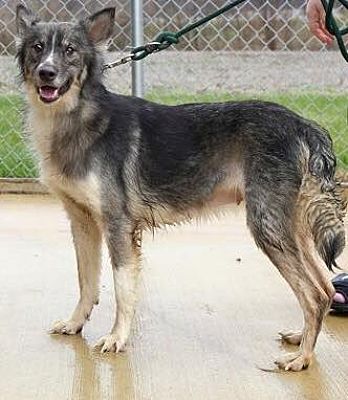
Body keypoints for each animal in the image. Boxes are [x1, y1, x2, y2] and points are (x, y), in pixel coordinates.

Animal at [14, 3, 346, 372]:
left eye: (70, 50)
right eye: (37, 48)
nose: (46, 73)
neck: (76, 118)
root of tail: (303, 125)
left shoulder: (118, 226)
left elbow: (121, 289)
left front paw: (117, 337)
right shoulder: (82, 223)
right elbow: (86, 283)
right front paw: (75, 324)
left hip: (267, 226)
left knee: (314, 295)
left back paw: (302, 358)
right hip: (291, 227)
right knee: (325, 289)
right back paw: (302, 339)